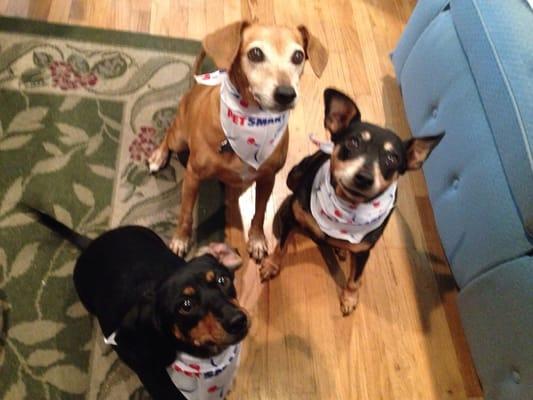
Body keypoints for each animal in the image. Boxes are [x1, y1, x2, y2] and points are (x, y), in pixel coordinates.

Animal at [148, 21, 326, 260]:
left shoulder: (267, 178)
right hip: (179, 138)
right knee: (168, 135)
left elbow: (260, 212)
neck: (251, 124)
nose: (286, 94)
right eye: (255, 53)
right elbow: (186, 213)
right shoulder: (193, 175)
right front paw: (180, 239)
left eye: (298, 56)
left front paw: (257, 239)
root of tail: (194, 87)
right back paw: (159, 156)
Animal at [260, 87, 442, 316]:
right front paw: (271, 265)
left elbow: (355, 279)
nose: (364, 177)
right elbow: (281, 246)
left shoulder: (364, 250)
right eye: (353, 142)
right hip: (294, 174)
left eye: (392, 158)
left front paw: (349, 298)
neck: (346, 206)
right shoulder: (293, 218)